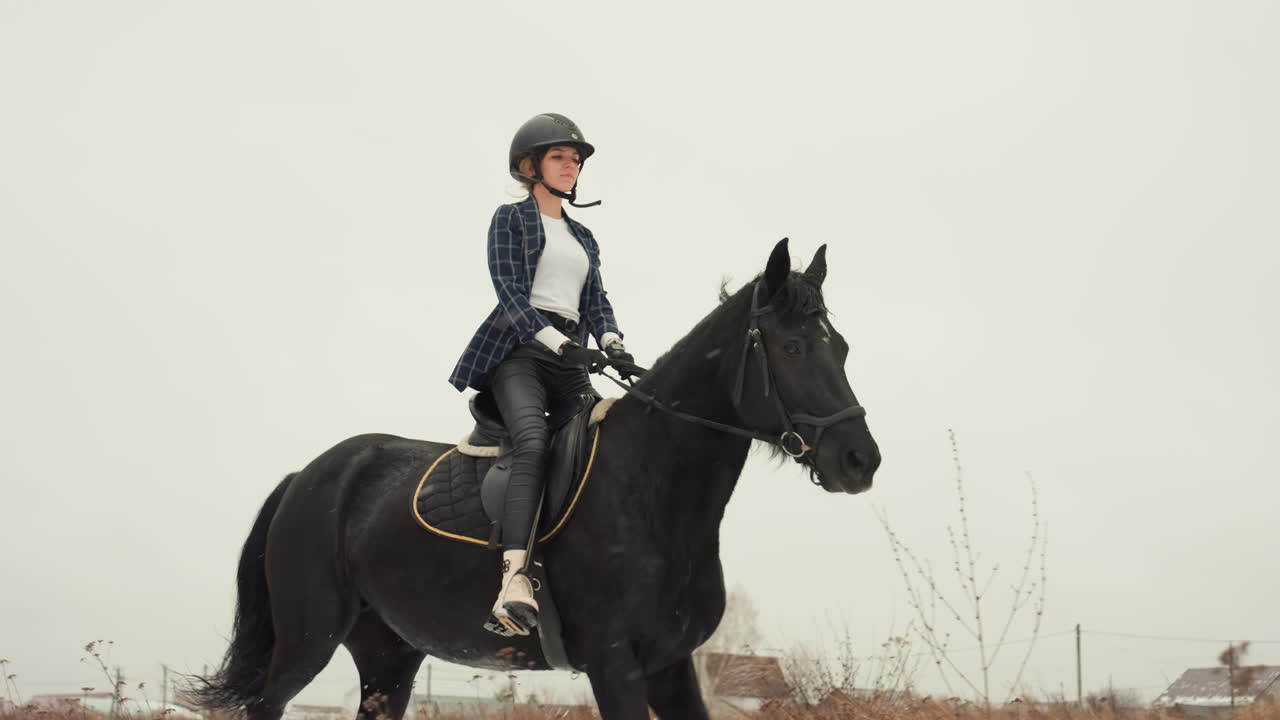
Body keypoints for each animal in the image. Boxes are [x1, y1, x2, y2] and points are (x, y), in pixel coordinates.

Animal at [187, 238, 881, 720]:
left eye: (842, 347)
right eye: (792, 347)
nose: (861, 461)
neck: (652, 490)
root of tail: (308, 475)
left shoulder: (671, 666)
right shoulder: (615, 665)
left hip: (388, 657)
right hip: (307, 638)